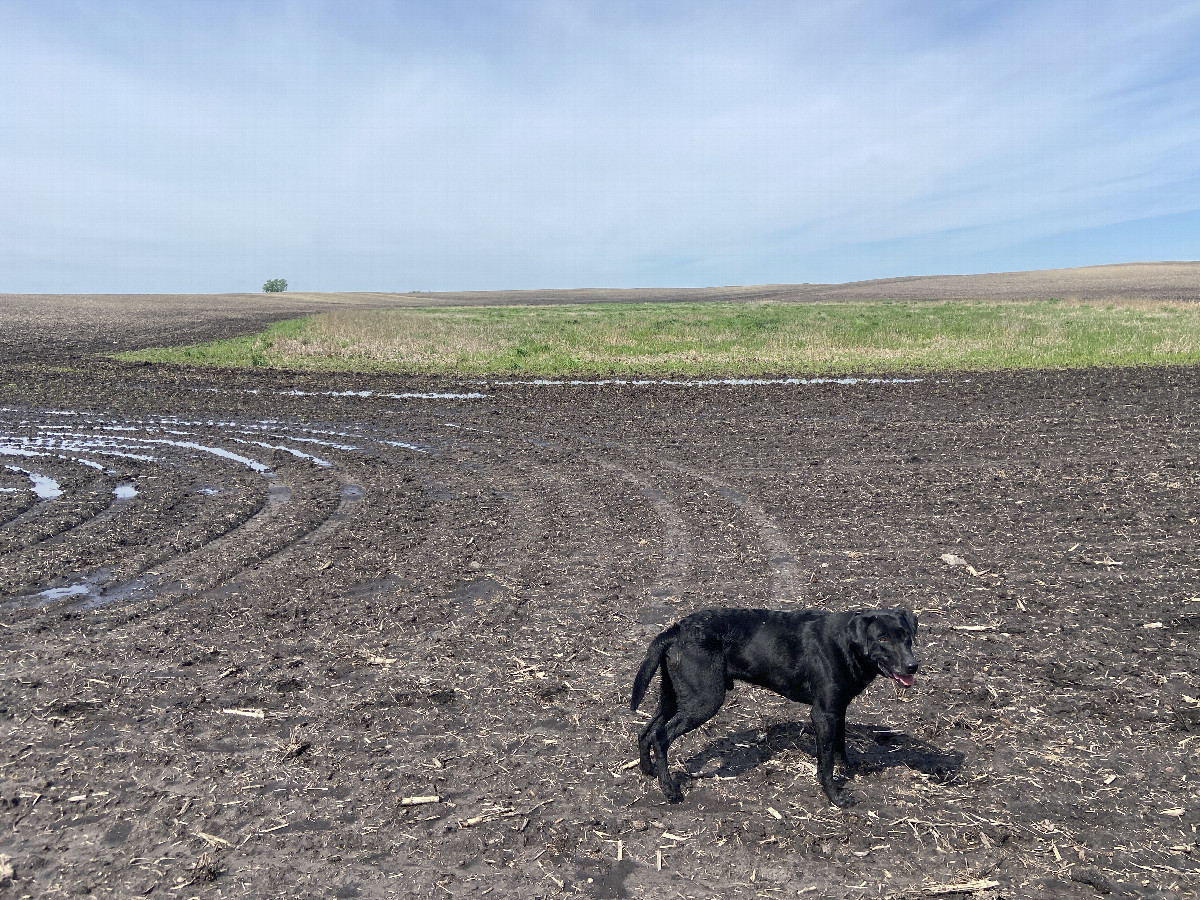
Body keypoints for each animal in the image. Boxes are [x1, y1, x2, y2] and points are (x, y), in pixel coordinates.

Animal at [628, 609, 916, 806]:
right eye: (882, 638)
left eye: (907, 637)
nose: (913, 666)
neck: (846, 644)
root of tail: (676, 629)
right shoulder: (823, 714)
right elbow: (825, 762)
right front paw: (835, 796)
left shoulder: (838, 709)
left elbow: (840, 746)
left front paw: (850, 768)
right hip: (703, 700)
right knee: (661, 736)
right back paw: (670, 790)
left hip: (674, 697)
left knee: (646, 732)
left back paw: (649, 771)